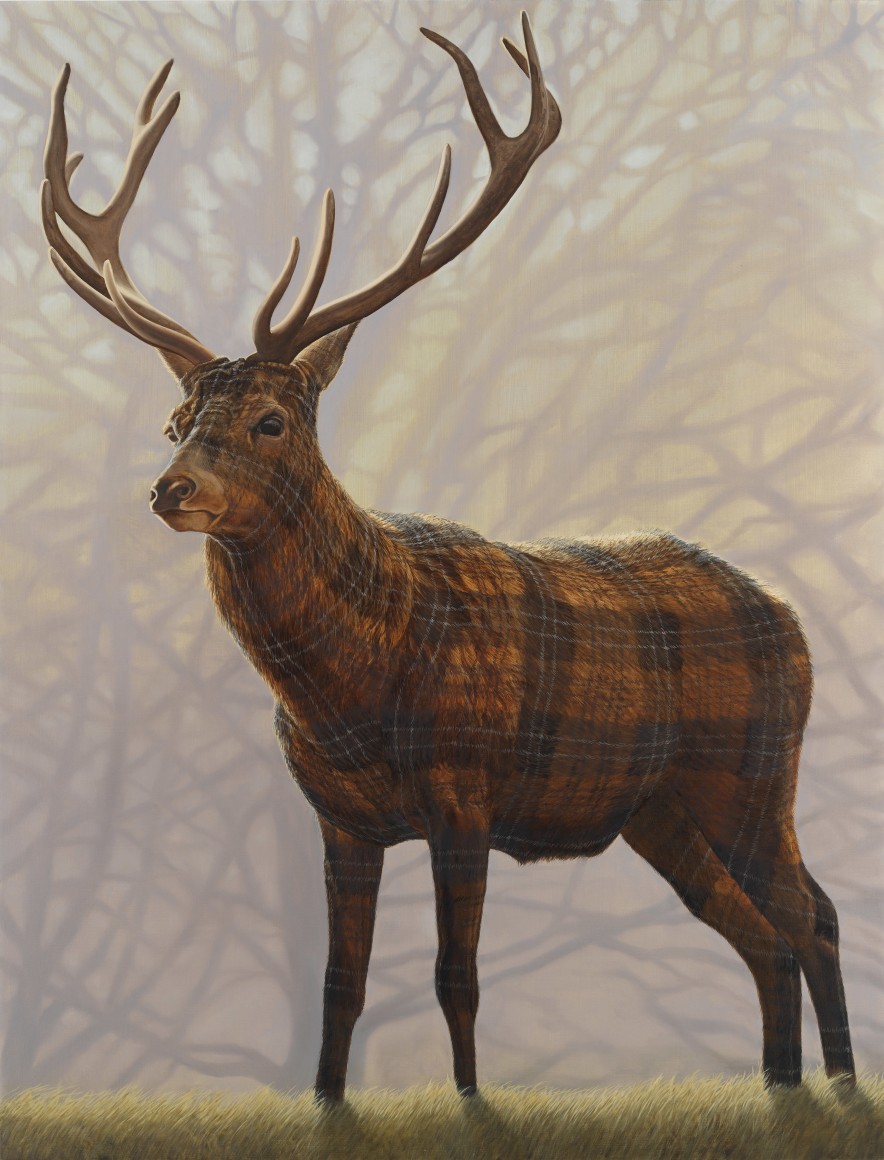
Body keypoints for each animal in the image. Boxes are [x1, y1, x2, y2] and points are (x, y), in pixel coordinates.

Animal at [41, 12, 855, 1103]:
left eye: (268, 420)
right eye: (177, 421)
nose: (170, 490)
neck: (352, 689)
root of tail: (791, 615)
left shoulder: (465, 788)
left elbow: (454, 974)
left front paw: (472, 1102)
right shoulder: (336, 814)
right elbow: (340, 980)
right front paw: (327, 1102)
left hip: (754, 774)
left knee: (813, 913)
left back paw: (837, 1086)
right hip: (663, 810)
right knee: (761, 934)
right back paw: (781, 1087)